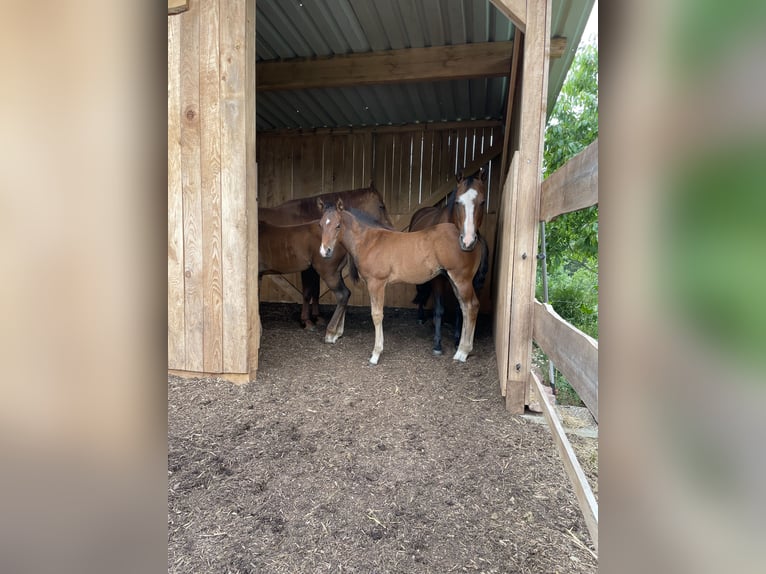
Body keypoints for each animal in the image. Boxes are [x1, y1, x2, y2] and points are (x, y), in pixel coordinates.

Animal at [258, 185, 393, 332]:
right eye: (381, 206)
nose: (391, 228)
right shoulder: (309, 269)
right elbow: (308, 293)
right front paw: (307, 320)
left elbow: (314, 292)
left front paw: (315, 318)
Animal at [318, 198, 482, 365]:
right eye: (321, 224)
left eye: (338, 225)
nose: (325, 251)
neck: (369, 242)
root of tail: (470, 240)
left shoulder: (377, 283)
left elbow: (377, 315)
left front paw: (376, 354)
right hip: (453, 280)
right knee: (464, 308)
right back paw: (461, 350)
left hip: (462, 280)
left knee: (472, 307)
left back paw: (463, 352)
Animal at [408, 169, 489, 355]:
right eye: (458, 202)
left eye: (482, 202)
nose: (468, 241)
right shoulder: (438, 279)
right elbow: (439, 309)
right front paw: (437, 344)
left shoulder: (464, 280)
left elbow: (461, 309)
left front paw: (458, 339)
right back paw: (421, 317)